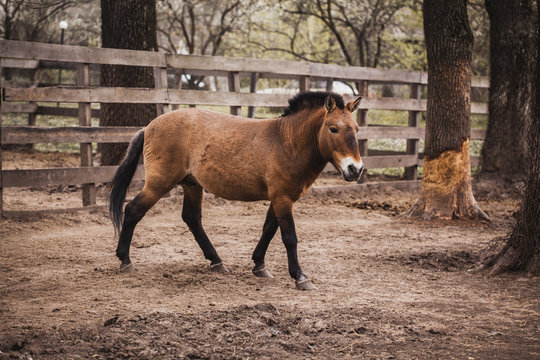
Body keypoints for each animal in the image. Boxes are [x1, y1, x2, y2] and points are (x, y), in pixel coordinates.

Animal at [109, 90, 362, 290]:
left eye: (357, 129)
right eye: (333, 129)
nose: (355, 169)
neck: (287, 141)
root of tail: (149, 126)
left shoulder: (278, 198)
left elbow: (268, 230)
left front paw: (259, 265)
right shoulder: (282, 199)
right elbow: (289, 237)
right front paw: (300, 277)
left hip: (192, 185)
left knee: (192, 218)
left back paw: (216, 261)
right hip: (159, 183)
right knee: (133, 211)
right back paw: (125, 260)